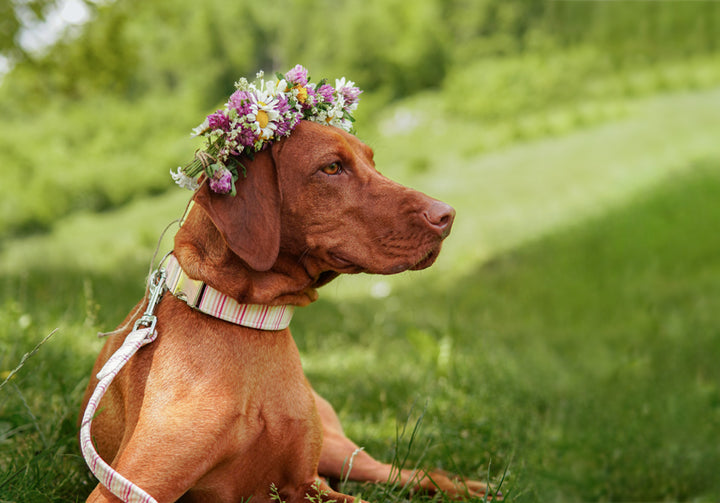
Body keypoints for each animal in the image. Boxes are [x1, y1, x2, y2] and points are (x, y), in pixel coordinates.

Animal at [81, 120, 492, 502]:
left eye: (372, 162)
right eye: (331, 167)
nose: (447, 215)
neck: (246, 322)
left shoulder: (307, 484)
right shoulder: (124, 488)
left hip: (339, 453)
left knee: (412, 474)